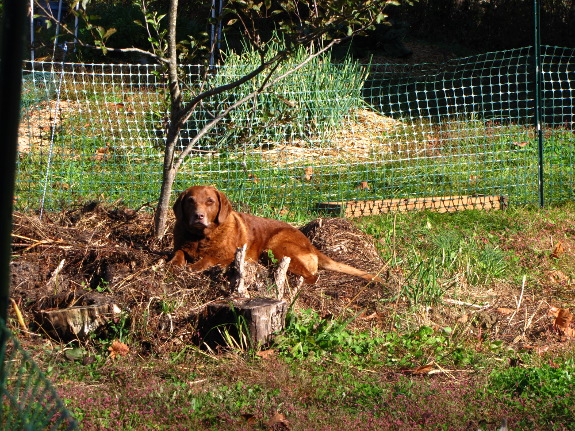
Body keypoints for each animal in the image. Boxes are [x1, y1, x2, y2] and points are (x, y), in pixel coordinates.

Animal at [170, 185, 382, 284]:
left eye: (210, 201)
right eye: (190, 201)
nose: (199, 216)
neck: (199, 237)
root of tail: (311, 245)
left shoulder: (229, 255)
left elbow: (208, 259)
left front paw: (193, 267)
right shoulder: (180, 245)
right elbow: (178, 253)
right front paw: (174, 263)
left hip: (275, 247)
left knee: (311, 276)